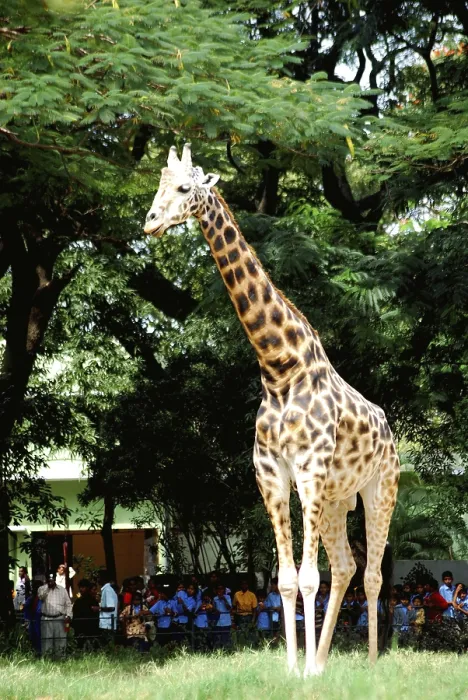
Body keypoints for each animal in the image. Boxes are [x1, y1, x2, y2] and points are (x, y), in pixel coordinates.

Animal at [144, 144, 400, 676]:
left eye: (184, 187)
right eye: (158, 186)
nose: (150, 222)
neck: (279, 367)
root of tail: (389, 429)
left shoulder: (310, 468)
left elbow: (307, 577)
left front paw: (305, 672)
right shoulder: (271, 473)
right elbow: (284, 578)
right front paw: (293, 669)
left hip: (380, 488)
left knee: (370, 575)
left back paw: (368, 663)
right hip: (337, 499)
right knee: (345, 567)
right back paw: (323, 662)